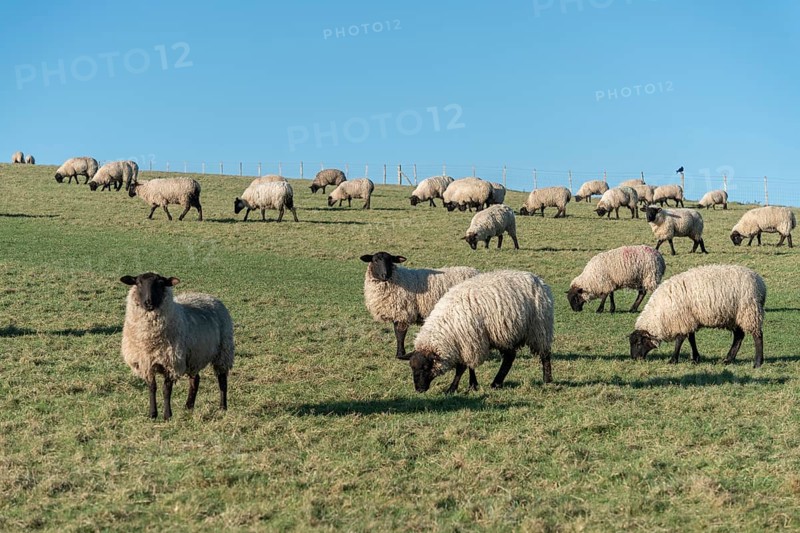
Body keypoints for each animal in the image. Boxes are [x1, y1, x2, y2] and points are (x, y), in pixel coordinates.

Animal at [120, 272, 234, 420]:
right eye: (138, 283)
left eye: (160, 283)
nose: (148, 302)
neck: (150, 340)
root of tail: (208, 296)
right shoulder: (147, 363)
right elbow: (152, 388)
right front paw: (152, 414)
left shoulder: (171, 362)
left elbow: (166, 390)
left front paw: (167, 415)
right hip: (194, 356)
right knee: (195, 379)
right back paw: (189, 406)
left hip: (223, 351)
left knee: (222, 380)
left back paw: (222, 407)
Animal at [407, 270, 554, 393]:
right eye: (412, 368)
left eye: (426, 367)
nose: (419, 389)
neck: (446, 326)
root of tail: (537, 279)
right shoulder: (468, 343)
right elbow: (470, 366)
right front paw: (473, 385)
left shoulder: (470, 342)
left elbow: (461, 369)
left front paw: (452, 388)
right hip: (504, 334)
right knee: (509, 357)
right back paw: (496, 383)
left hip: (540, 328)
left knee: (545, 354)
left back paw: (547, 379)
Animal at [629, 264, 766, 367]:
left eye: (639, 343)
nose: (634, 358)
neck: (661, 313)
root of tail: (761, 283)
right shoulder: (689, 319)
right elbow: (691, 339)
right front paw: (695, 358)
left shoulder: (683, 319)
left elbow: (680, 340)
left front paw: (673, 360)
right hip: (734, 316)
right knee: (739, 336)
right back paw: (728, 359)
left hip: (749, 311)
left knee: (757, 336)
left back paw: (757, 363)